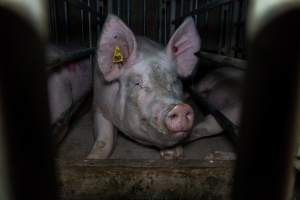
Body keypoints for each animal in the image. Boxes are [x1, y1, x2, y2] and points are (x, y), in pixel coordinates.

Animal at [89, 14, 202, 159]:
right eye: (138, 83)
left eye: (174, 81)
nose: (180, 108)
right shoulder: (98, 105)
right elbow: (104, 138)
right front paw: (91, 159)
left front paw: (173, 154)